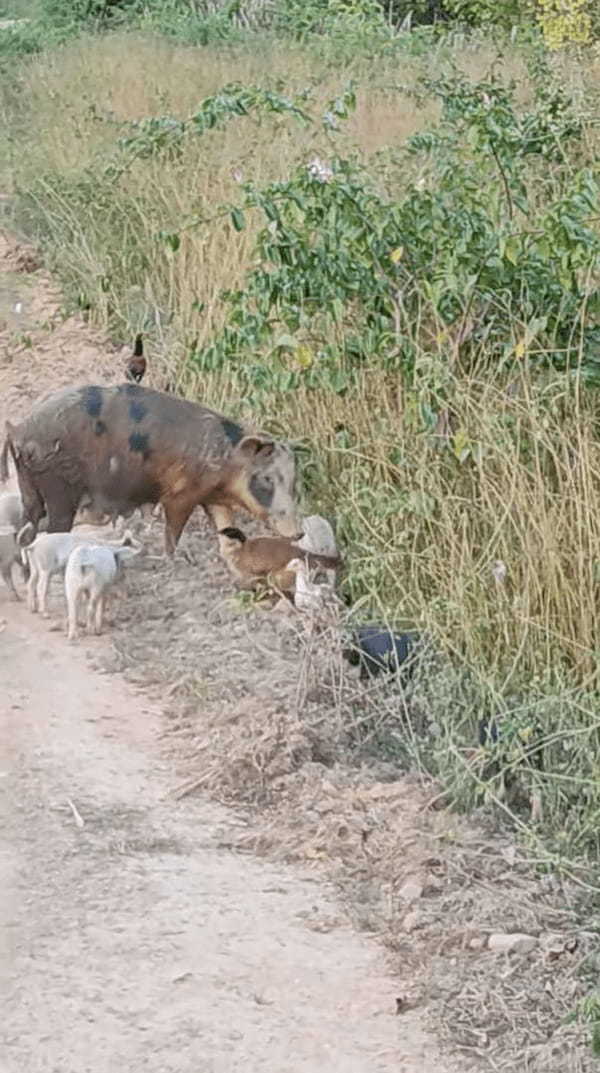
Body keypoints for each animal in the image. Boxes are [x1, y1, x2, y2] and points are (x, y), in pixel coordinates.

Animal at [0, 384, 300, 553]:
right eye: (267, 479)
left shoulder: (212, 497)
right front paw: (174, 559)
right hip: (58, 490)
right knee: (52, 527)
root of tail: (18, 429)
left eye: (293, 481)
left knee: (29, 523)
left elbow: (225, 525)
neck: (226, 466)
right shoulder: (181, 494)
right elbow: (173, 530)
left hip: (29, 486)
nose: (298, 533)